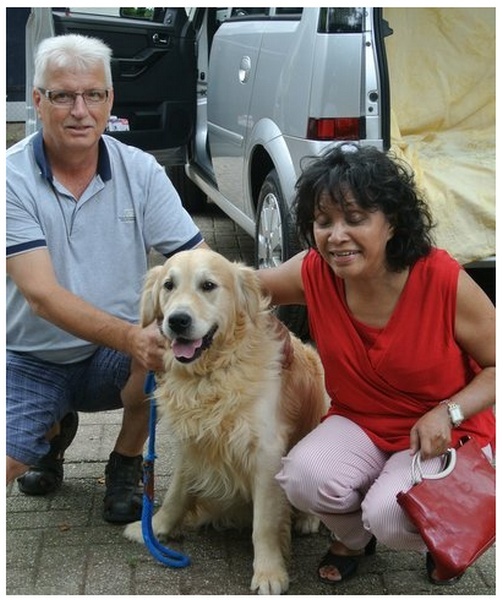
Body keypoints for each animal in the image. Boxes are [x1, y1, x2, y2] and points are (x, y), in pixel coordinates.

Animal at [124, 248, 328, 596]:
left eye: (208, 285)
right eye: (168, 285)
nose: (177, 320)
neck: (212, 374)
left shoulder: (267, 453)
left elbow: (264, 524)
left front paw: (269, 572)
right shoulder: (192, 442)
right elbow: (177, 492)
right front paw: (155, 528)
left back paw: (307, 519)